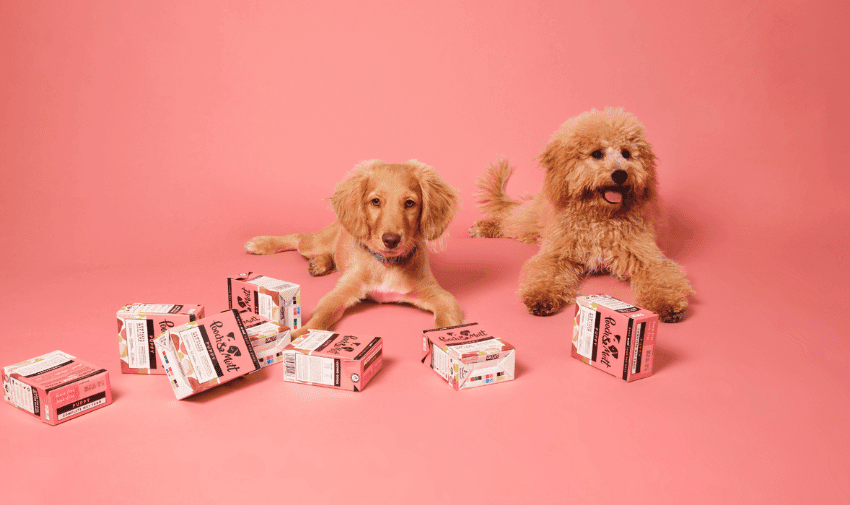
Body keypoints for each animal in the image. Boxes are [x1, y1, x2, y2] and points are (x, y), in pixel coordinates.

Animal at [245, 159, 464, 336]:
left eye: (410, 203)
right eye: (375, 201)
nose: (391, 240)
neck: (387, 265)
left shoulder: (440, 296)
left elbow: (448, 321)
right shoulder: (342, 292)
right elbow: (321, 317)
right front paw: (297, 337)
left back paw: (320, 264)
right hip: (314, 243)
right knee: (300, 238)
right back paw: (261, 244)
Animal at [468, 109, 692, 322]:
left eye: (626, 153)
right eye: (597, 154)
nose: (621, 174)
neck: (599, 216)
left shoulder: (647, 257)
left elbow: (662, 278)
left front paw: (667, 303)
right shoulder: (557, 254)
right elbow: (545, 274)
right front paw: (541, 296)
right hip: (532, 221)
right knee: (510, 220)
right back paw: (485, 227)